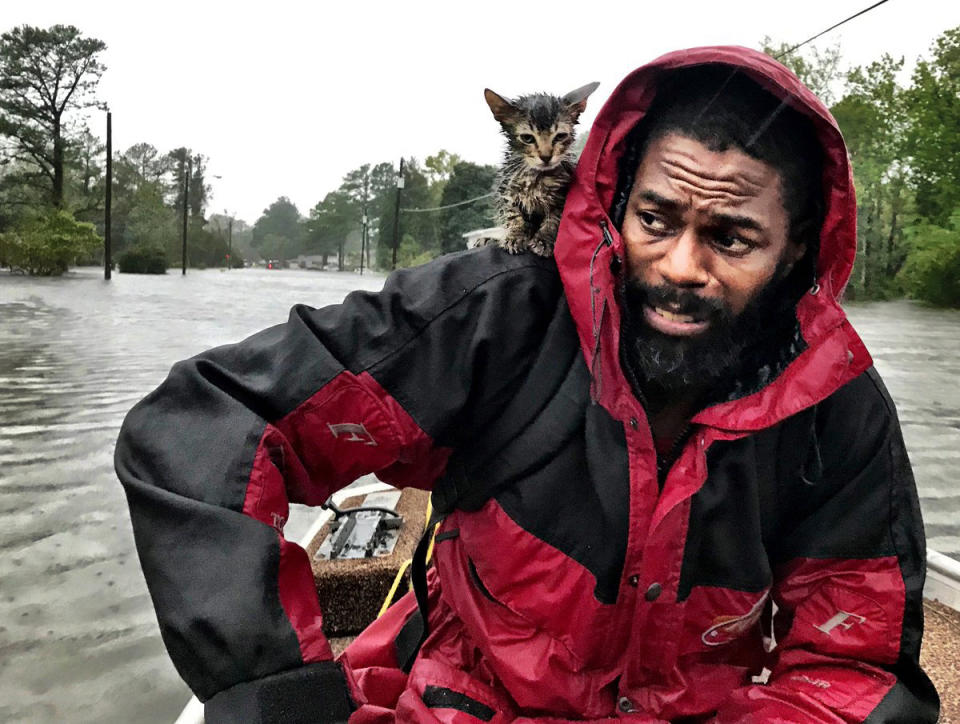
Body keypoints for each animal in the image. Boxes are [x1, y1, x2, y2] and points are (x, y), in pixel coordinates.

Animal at [480, 82, 600, 256]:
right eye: (527, 138)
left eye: (560, 136)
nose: (546, 156)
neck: (537, 176)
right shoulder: (506, 190)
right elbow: (512, 214)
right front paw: (515, 235)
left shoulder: (563, 197)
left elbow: (554, 219)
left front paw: (543, 240)